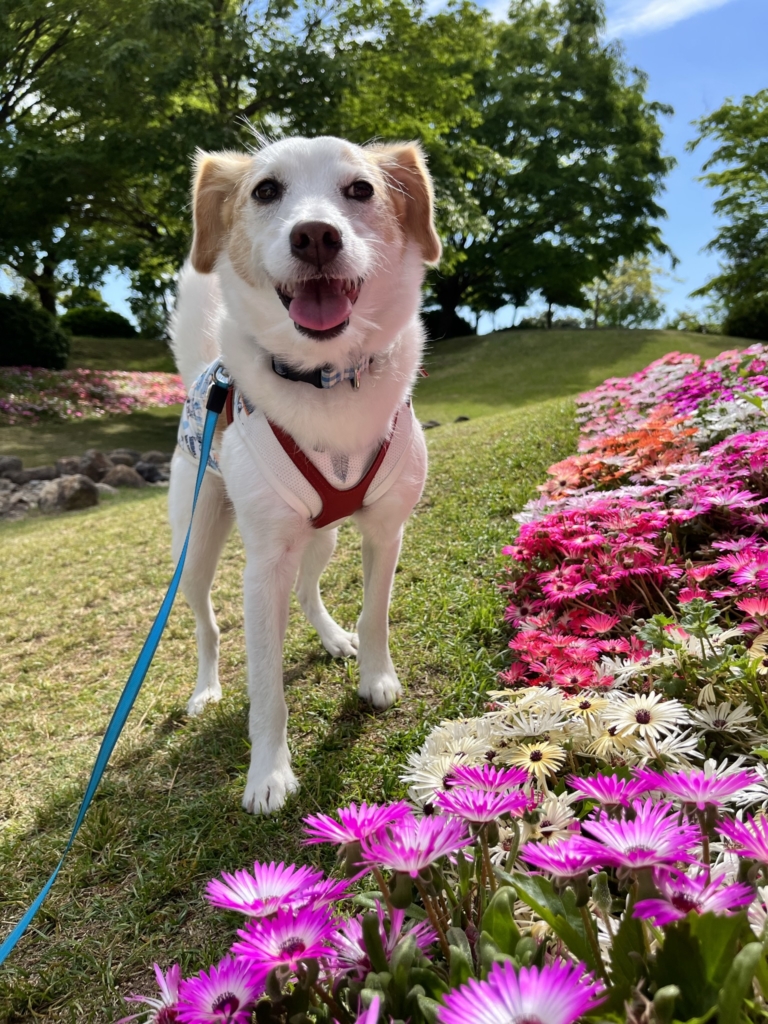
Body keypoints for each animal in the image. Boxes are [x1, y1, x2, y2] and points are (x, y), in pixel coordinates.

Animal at [167, 136, 444, 811]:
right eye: (265, 190)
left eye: (362, 189)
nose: (315, 235)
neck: (326, 379)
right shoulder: (263, 563)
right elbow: (266, 681)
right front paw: (267, 774)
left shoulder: (386, 532)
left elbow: (376, 613)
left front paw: (375, 675)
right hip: (197, 542)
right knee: (208, 623)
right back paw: (205, 689)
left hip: (325, 535)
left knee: (307, 587)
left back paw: (333, 637)